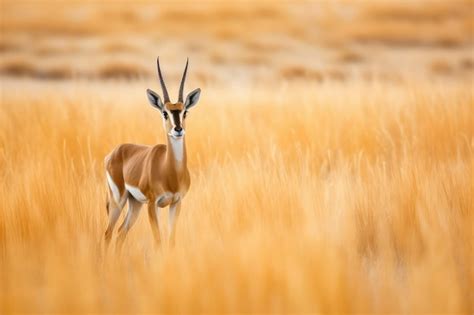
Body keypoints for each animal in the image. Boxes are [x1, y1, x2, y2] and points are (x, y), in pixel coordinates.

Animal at [103, 58, 200, 253]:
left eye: (184, 111)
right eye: (165, 112)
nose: (178, 129)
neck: (169, 171)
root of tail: (114, 152)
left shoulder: (176, 203)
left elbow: (171, 240)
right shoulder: (152, 204)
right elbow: (158, 240)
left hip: (134, 203)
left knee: (120, 232)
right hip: (119, 200)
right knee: (108, 233)